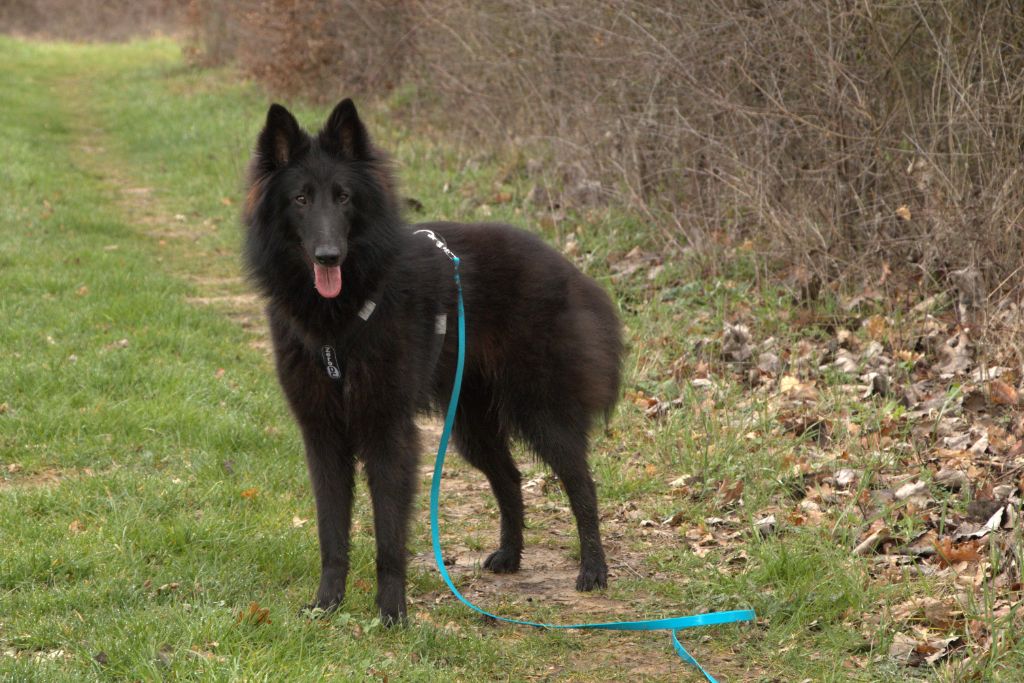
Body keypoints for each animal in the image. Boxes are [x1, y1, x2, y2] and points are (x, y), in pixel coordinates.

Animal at [243, 98, 622, 624]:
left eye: (343, 198)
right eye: (300, 199)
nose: (328, 256)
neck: (340, 322)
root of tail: (573, 273)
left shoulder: (388, 433)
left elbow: (388, 534)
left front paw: (391, 614)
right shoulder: (323, 436)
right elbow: (331, 532)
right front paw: (327, 604)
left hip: (543, 414)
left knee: (582, 485)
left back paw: (593, 570)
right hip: (470, 426)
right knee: (510, 477)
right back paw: (511, 555)